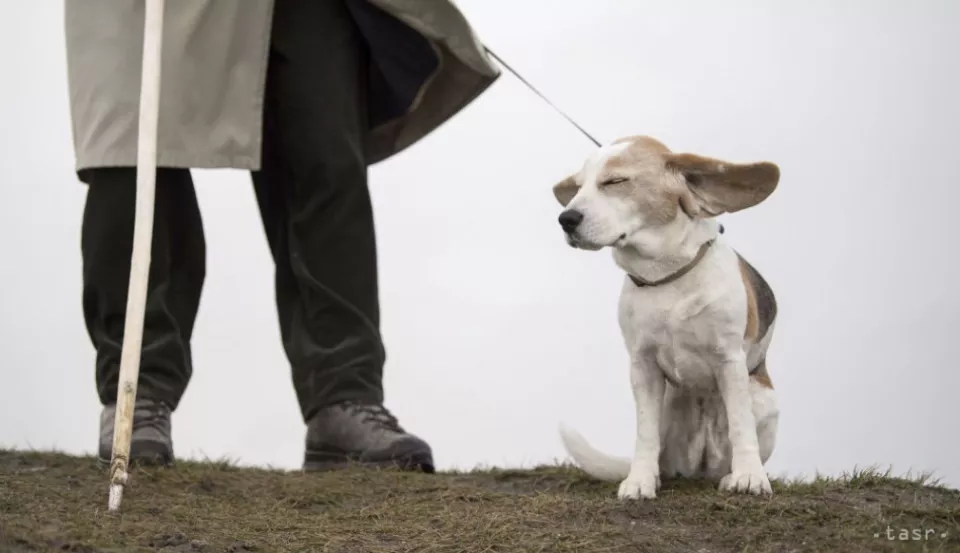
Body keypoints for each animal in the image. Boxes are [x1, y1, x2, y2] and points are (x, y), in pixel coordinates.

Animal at [556, 136, 780, 498]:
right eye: (578, 187)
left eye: (615, 181)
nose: (566, 218)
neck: (666, 275)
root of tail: (700, 468)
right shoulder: (642, 365)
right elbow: (644, 433)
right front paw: (639, 481)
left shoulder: (729, 361)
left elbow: (740, 424)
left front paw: (749, 477)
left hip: (764, 399)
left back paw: (731, 475)